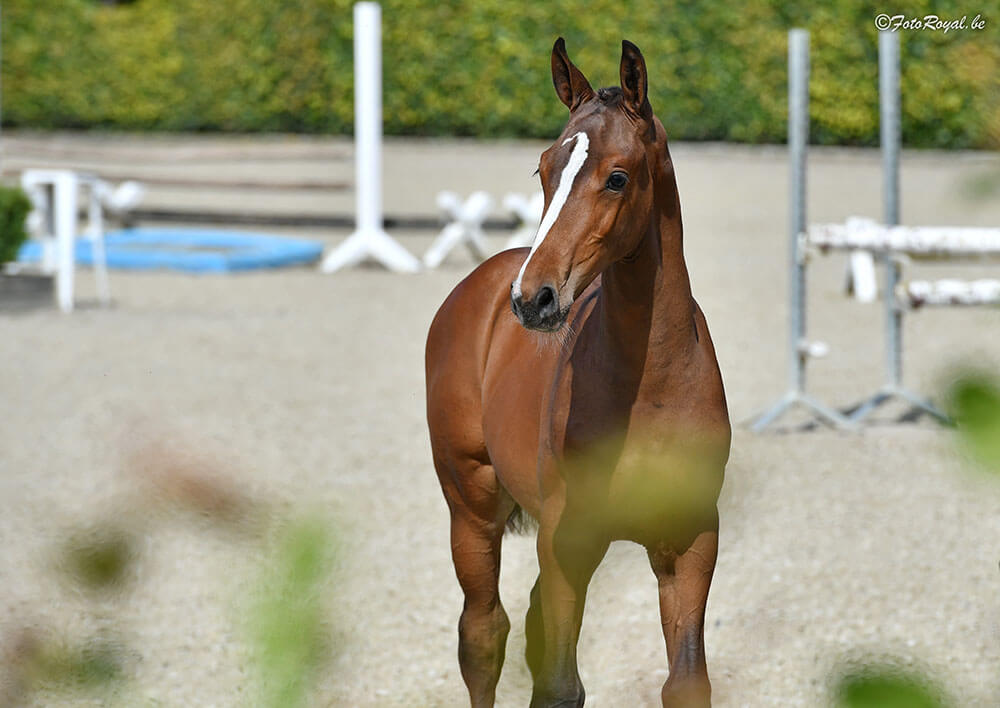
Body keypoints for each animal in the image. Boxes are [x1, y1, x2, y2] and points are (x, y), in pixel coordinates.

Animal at [425, 38, 731, 708]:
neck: (651, 388)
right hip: (471, 507)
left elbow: (686, 682)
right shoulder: (568, 543)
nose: (533, 300)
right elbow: (561, 686)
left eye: (617, 178)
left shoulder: (690, 543)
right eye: (543, 169)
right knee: (483, 634)